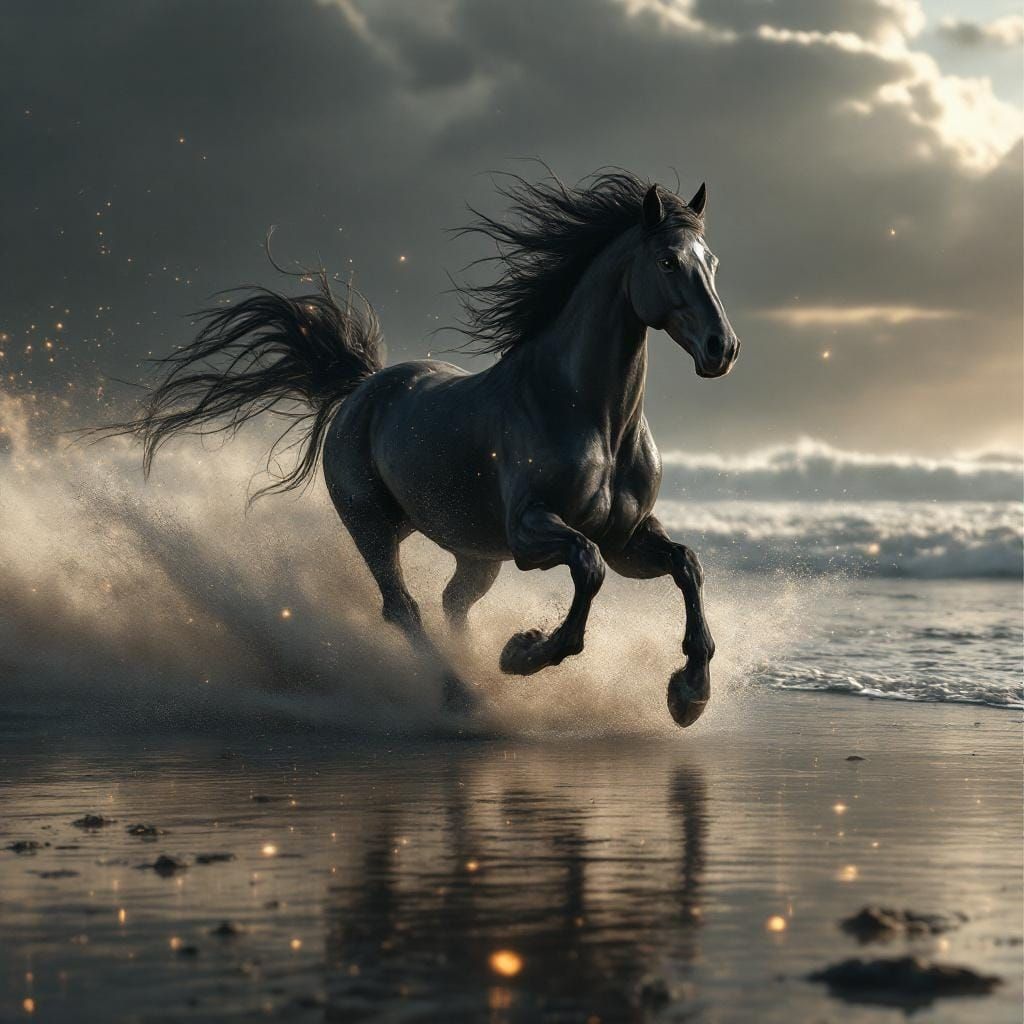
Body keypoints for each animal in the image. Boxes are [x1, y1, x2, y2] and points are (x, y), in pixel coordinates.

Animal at [108, 170, 740, 727]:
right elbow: (587, 567)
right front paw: (523, 652)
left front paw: (690, 694)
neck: (591, 417)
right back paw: (460, 694)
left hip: (475, 552)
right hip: (373, 526)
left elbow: (686, 564)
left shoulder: (626, 539)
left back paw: (470, 674)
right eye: (667, 262)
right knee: (403, 608)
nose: (722, 348)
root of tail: (361, 387)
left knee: (452, 603)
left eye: (711, 262)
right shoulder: (531, 532)